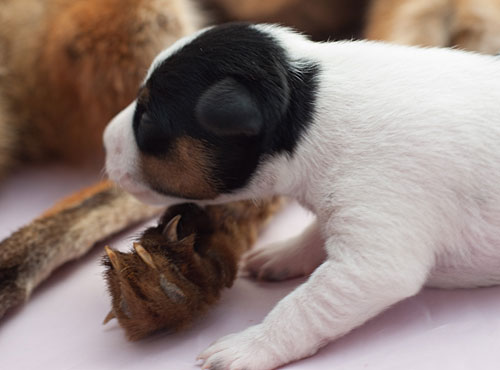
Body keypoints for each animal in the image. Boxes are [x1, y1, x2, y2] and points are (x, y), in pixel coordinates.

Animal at [103, 23, 500, 370]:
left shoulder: (373, 250)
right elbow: (315, 236)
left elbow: (305, 306)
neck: (307, 108)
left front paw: (249, 346)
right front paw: (284, 254)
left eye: (147, 120)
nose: (105, 139)